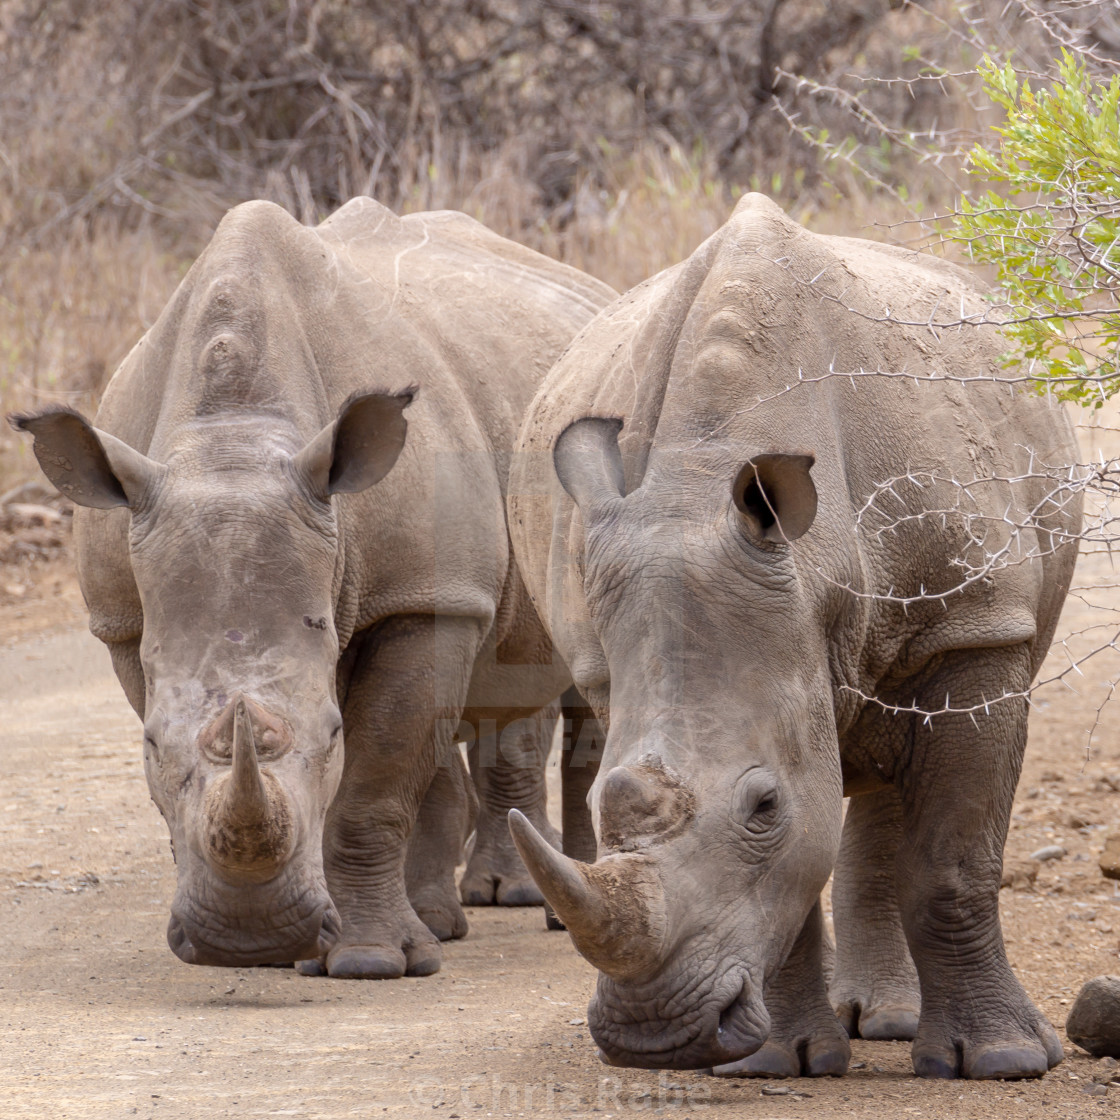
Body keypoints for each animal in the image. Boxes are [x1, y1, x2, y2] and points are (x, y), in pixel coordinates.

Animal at [13, 197, 618, 976]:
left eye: (331, 734)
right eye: (145, 746)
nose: (244, 943)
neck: (231, 438)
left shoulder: (428, 597)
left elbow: (374, 781)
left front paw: (372, 962)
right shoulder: (124, 620)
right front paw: (298, 950)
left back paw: (539, 907)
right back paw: (446, 919)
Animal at [510, 192, 1084, 1075]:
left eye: (763, 804)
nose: (654, 1036)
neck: (816, 580)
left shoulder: (975, 630)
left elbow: (951, 863)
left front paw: (1001, 1062)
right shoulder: (629, 665)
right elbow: (791, 868)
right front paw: (778, 1061)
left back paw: (890, 1022)